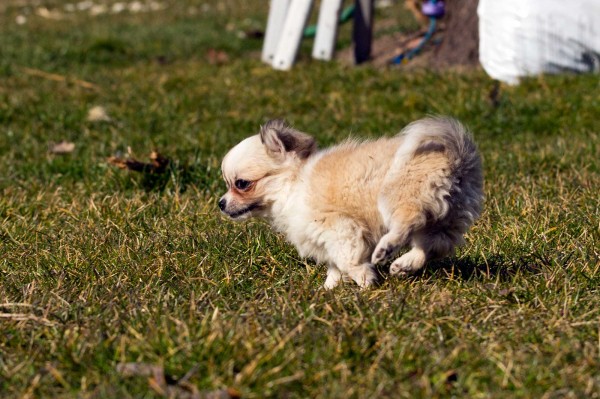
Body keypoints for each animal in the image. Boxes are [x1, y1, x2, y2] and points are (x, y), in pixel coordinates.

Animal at [219, 117, 482, 290]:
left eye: (241, 184)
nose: (221, 203)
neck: (293, 184)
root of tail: (457, 154)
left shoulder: (340, 228)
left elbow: (348, 260)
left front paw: (365, 282)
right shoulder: (330, 238)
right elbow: (336, 266)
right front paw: (329, 290)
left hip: (398, 196)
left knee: (409, 221)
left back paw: (386, 249)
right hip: (447, 219)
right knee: (432, 246)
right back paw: (403, 264)